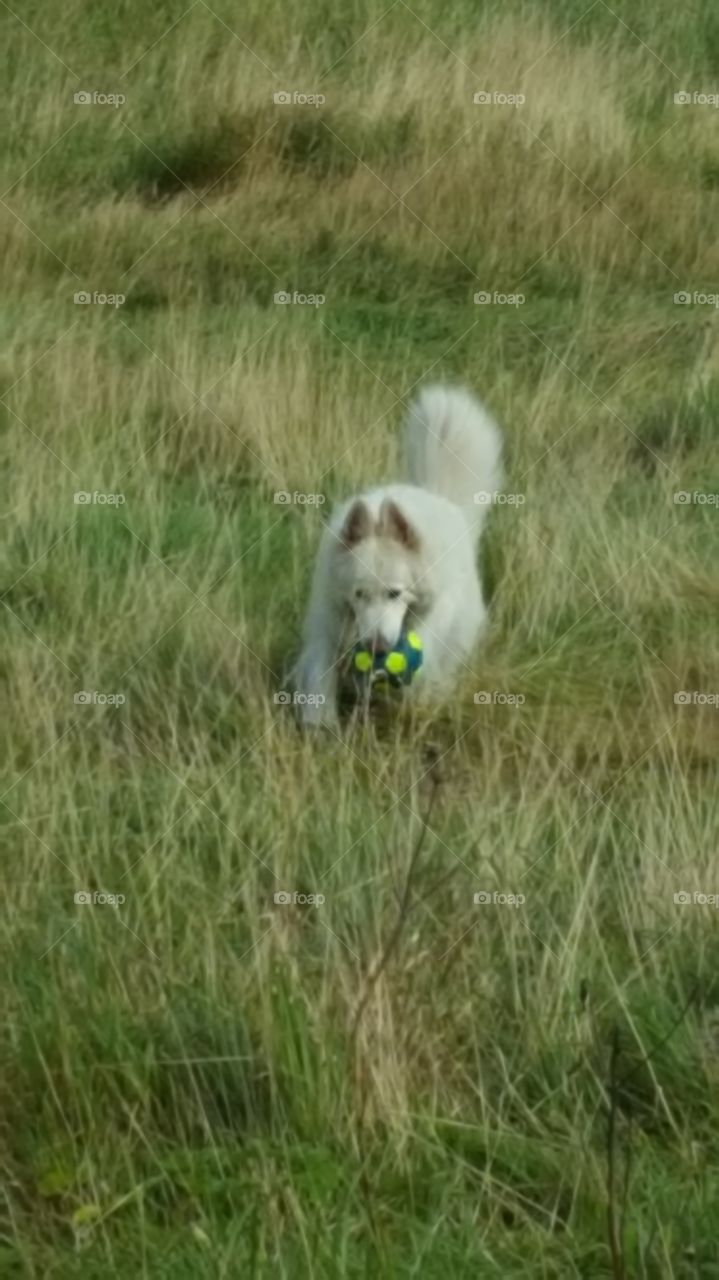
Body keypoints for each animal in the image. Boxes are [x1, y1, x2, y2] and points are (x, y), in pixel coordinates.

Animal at [294, 384, 501, 727]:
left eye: (394, 594)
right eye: (359, 594)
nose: (377, 647)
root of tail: (437, 495)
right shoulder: (328, 621)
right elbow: (320, 674)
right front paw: (320, 723)